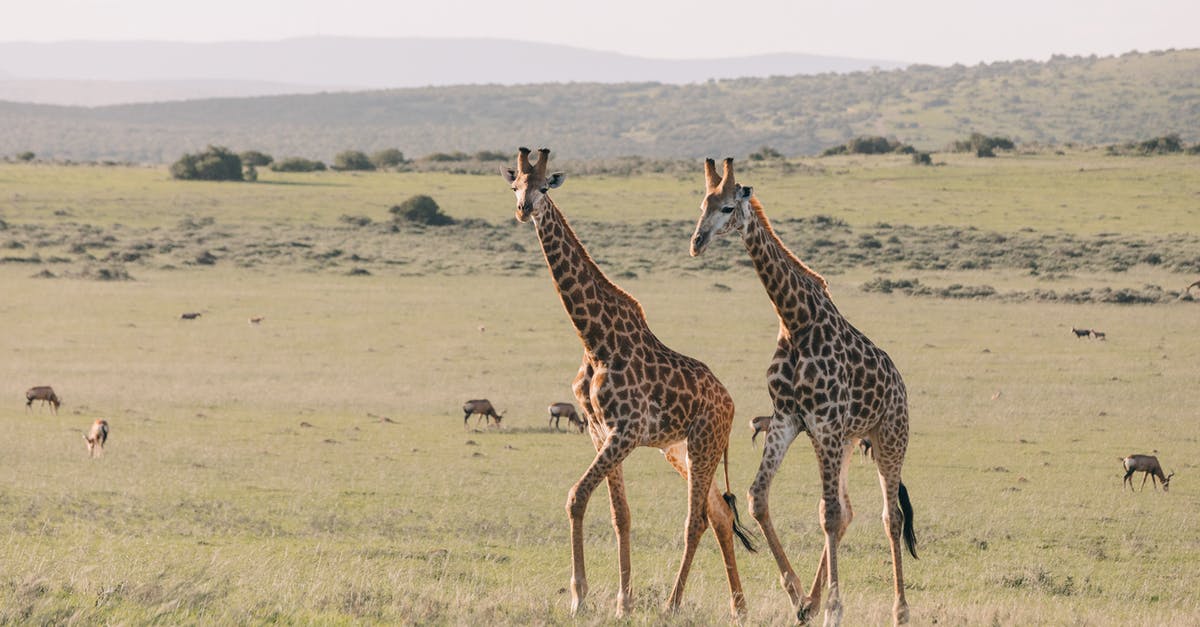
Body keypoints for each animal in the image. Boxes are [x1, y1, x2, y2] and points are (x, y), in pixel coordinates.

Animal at [501, 146, 753, 614]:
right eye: (516, 187)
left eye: (544, 187)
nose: (524, 210)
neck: (593, 339)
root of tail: (730, 403)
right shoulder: (600, 432)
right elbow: (621, 516)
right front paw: (622, 601)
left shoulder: (626, 431)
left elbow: (576, 497)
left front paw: (580, 598)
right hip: (682, 450)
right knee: (720, 514)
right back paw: (739, 606)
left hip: (703, 443)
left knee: (697, 520)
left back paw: (674, 604)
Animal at [686, 154, 916, 619]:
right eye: (702, 203)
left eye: (726, 207)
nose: (697, 242)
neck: (794, 319)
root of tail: (900, 386)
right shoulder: (788, 418)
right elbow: (757, 497)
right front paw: (798, 597)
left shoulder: (823, 423)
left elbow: (827, 515)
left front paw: (834, 609)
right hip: (848, 441)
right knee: (848, 511)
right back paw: (812, 599)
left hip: (889, 437)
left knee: (890, 517)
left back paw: (900, 610)